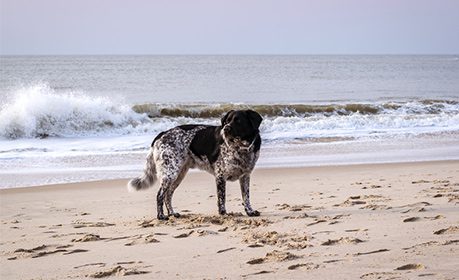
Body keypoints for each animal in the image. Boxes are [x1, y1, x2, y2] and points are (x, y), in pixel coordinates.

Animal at [127, 109, 264, 219]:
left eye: (238, 121)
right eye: (226, 121)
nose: (225, 129)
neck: (241, 147)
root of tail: (162, 133)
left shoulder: (245, 176)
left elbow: (246, 197)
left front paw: (249, 211)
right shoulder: (220, 176)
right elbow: (222, 198)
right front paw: (223, 214)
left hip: (179, 174)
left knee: (168, 195)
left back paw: (172, 213)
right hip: (170, 173)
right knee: (160, 195)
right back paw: (161, 216)